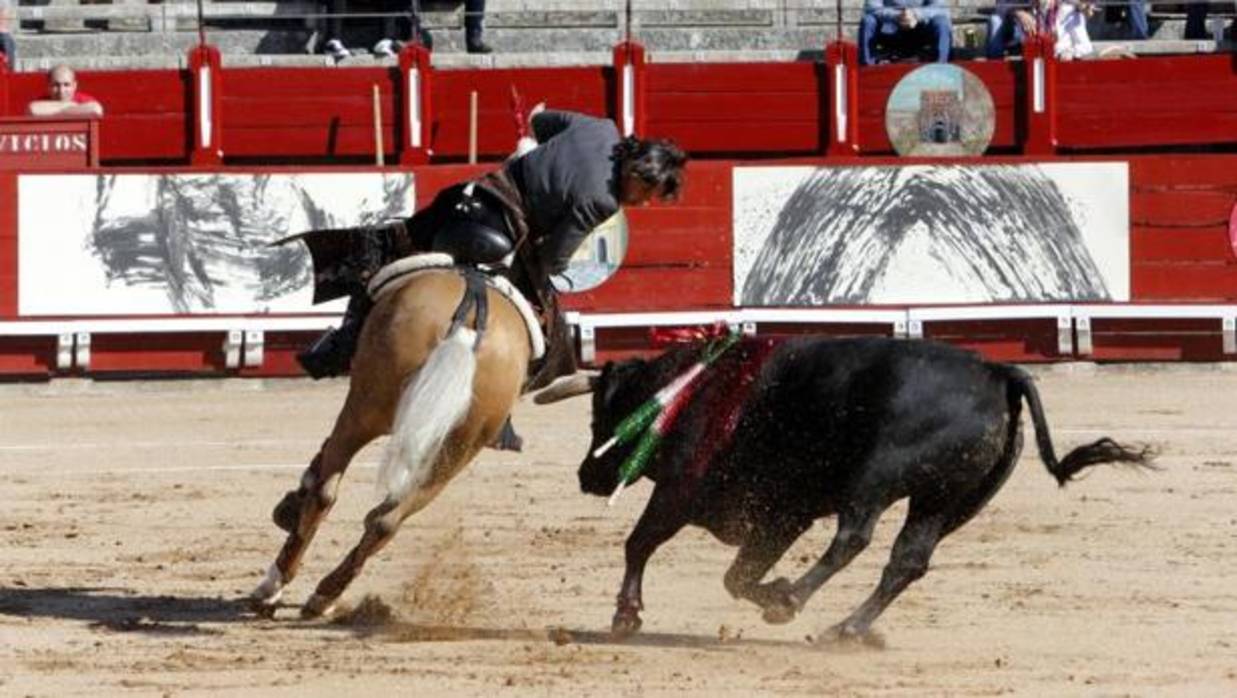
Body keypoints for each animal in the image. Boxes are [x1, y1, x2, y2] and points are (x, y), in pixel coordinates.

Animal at [249, 256, 541, 616]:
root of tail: (468, 321)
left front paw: (289, 507)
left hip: (362, 411)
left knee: (326, 492)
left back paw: (272, 586)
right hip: (457, 451)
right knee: (386, 520)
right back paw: (324, 595)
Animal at [536, 336, 1152, 643]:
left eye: (600, 414)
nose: (586, 476)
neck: (691, 389)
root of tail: (1000, 373)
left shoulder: (680, 490)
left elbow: (639, 543)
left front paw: (626, 616)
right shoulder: (783, 513)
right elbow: (738, 574)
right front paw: (773, 590)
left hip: (875, 477)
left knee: (855, 538)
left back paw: (797, 604)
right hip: (948, 501)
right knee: (907, 560)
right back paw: (843, 627)